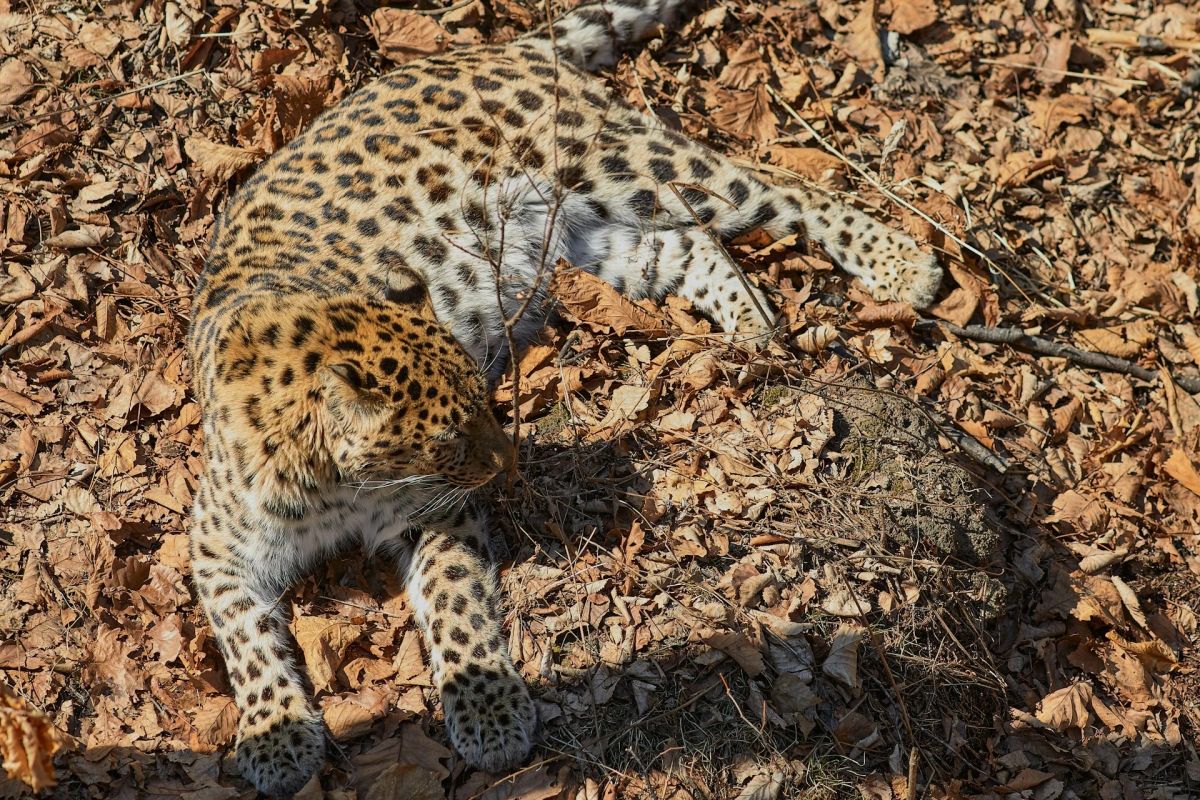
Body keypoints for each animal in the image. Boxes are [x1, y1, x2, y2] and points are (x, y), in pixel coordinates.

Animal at [187, 0, 943, 794]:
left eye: (480, 401)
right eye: (447, 439)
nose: (504, 466)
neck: (334, 485)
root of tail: (486, 51)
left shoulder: (438, 512)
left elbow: (455, 604)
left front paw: (488, 716)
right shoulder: (216, 547)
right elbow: (244, 640)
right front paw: (275, 737)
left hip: (620, 162)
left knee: (785, 189)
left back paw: (902, 263)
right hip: (588, 242)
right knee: (691, 246)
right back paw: (752, 334)